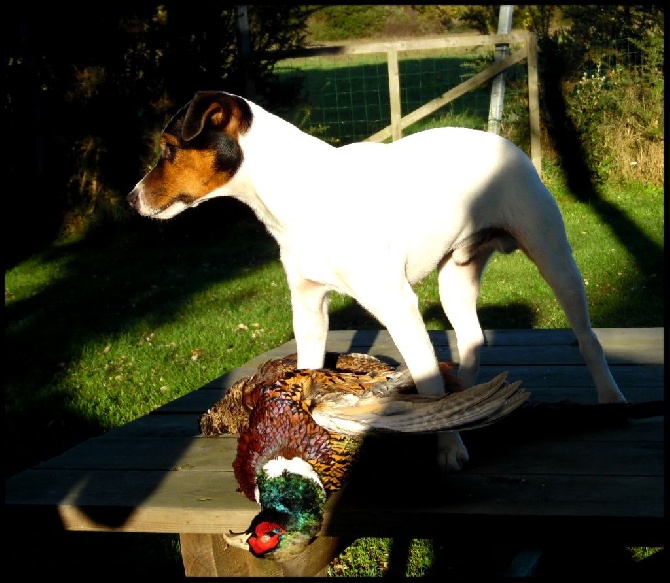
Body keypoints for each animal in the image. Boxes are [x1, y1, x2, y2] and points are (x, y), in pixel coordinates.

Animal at [127, 91, 632, 472]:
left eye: (169, 149)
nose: (131, 200)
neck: (300, 193)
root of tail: (505, 144)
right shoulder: (308, 309)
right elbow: (307, 371)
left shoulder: (397, 305)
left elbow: (428, 382)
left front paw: (448, 448)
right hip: (456, 277)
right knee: (471, 337)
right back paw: (470, 396)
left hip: (553, 257)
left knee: (587, 338)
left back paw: (610, 397)